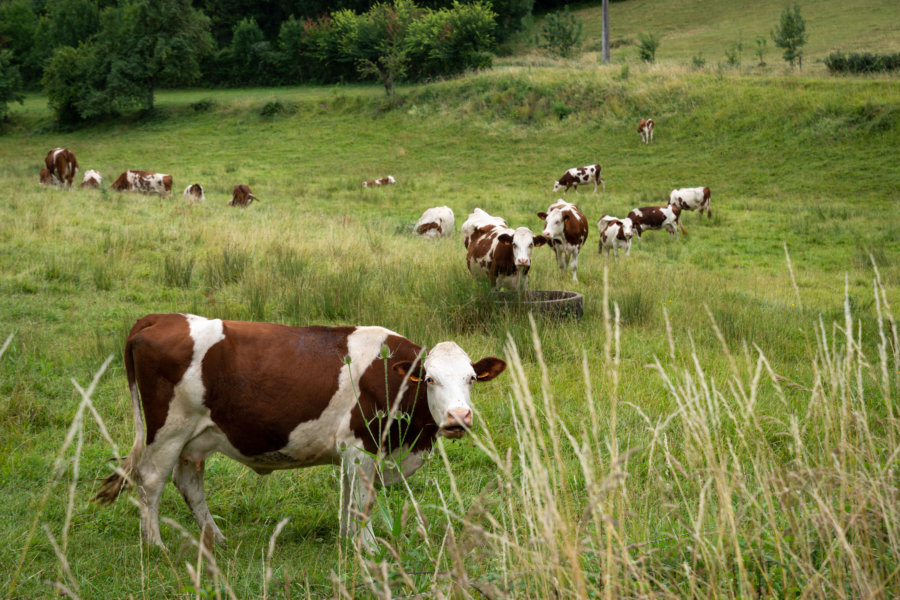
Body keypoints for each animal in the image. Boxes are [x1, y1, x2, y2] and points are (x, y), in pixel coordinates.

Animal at [98, 314, 510, 548]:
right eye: (430, 379)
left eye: (472, 379)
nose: (458, 417)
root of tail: (159, 317)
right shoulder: (363, 445)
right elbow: (363, 501)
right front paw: (370, 549)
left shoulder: (350, 452)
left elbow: (348, 498)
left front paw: (350, 541)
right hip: (168, 430)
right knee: (151, 481)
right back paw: (155, 546)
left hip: (195, 438)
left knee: (189, 484)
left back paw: (215, 539)